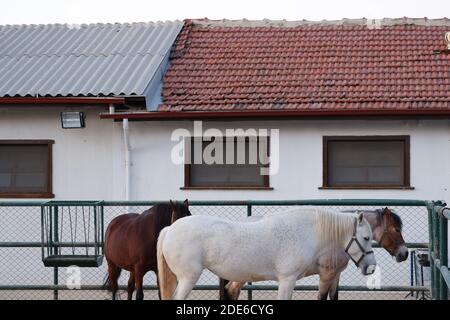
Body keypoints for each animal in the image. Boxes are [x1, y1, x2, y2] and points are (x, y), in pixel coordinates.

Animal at [156, 208, 374, 300]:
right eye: (365, 238)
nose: (371, 268)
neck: (305, 230)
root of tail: (170, 229)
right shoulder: (287, 280)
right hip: (188, 278)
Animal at [221, 208, 408, 300]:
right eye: (396, 230)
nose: (404, 254)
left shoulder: (336, 275)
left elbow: (334, 297)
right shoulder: (326, 274)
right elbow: (322, 297)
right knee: (231, 290)